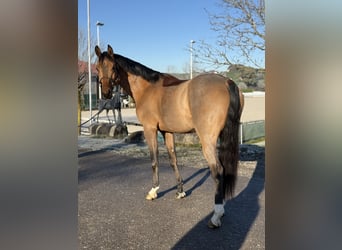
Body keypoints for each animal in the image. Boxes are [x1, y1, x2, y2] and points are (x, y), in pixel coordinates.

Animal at [93, 45, 243, 229]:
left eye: (113, 67)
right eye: (97, 68)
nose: (106, 93)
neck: (147, 89)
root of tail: (226, 82)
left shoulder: (150, 129)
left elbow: (154, 159)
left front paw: (153, 191)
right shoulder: (167, 132)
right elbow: (173, 160)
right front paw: (180, 191)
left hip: (207, 140)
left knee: (218, 170)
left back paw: (216, 215)